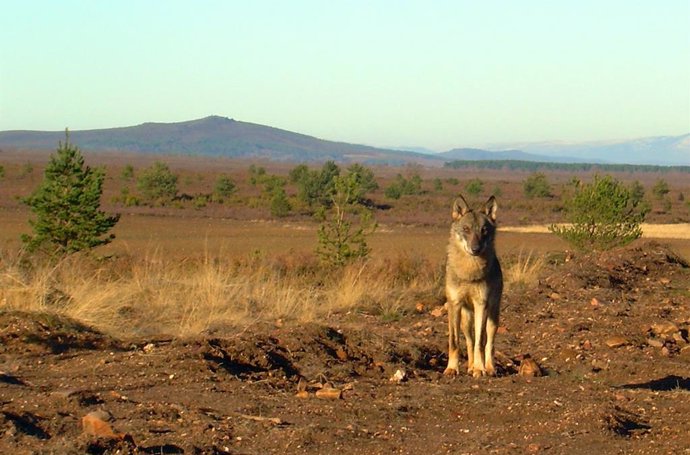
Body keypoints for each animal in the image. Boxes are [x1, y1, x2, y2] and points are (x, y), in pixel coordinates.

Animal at [444, 195, 502, 378]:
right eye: (466, 229)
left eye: (484, 230)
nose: (475, 249)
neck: (469, 273)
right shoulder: (454, 305)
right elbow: (454, 342)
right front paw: (451, 368)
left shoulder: (481, 305)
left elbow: (480, 342)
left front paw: (479, 369)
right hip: (466, 320)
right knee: (469, 341)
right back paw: (469, 366)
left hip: (492, 317)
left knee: (488, 343)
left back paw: (489, 368)